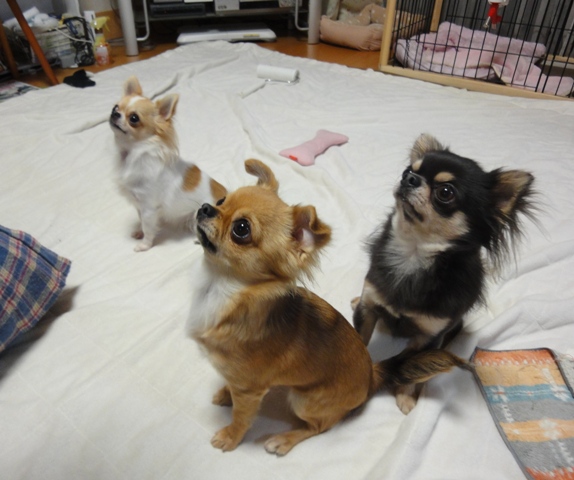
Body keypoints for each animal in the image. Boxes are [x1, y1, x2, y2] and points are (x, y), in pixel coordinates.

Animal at [109, 76, 227, 251]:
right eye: (115, 107)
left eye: (134, 119)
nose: (115, 113)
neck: (131, 156)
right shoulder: (139, 205)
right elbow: (141, 221)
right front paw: (139, 233)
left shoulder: (149, 207)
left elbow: (148, 227)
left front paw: (144, 245)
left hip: (197, 213)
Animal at [187, 158, 468, 455]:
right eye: (221, 200)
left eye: (241, 229)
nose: (206, 207)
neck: (217, 287)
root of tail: (371, 375)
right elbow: (231, 386)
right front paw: (225, 393)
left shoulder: (250, 391)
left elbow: (242, 417)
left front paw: (230, 437)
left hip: (302, 399)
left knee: (318, 428)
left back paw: (283, 440)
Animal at [352, 133, 536, 414]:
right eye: (408, 171)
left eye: (445, 192)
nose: (409, 179)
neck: (413, 253)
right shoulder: (369, 306)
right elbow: (360, 341)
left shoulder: (429, 336)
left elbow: (415, 364)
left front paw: (406, 396)